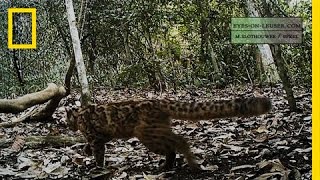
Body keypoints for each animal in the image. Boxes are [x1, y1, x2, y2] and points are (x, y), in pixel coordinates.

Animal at [66, 97, 272, 170]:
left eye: (65, 120)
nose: (68, 126)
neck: (79, 114)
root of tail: (158, 101)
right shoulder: (103, 135)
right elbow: (92, 146)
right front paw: (85, 151)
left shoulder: (95, 137)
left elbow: (98, 153)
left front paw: (97, 167)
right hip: (156, 130)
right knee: (172, 145)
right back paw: (167, 165)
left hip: (147, 133)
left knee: (178, 140)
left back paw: (190, 164)